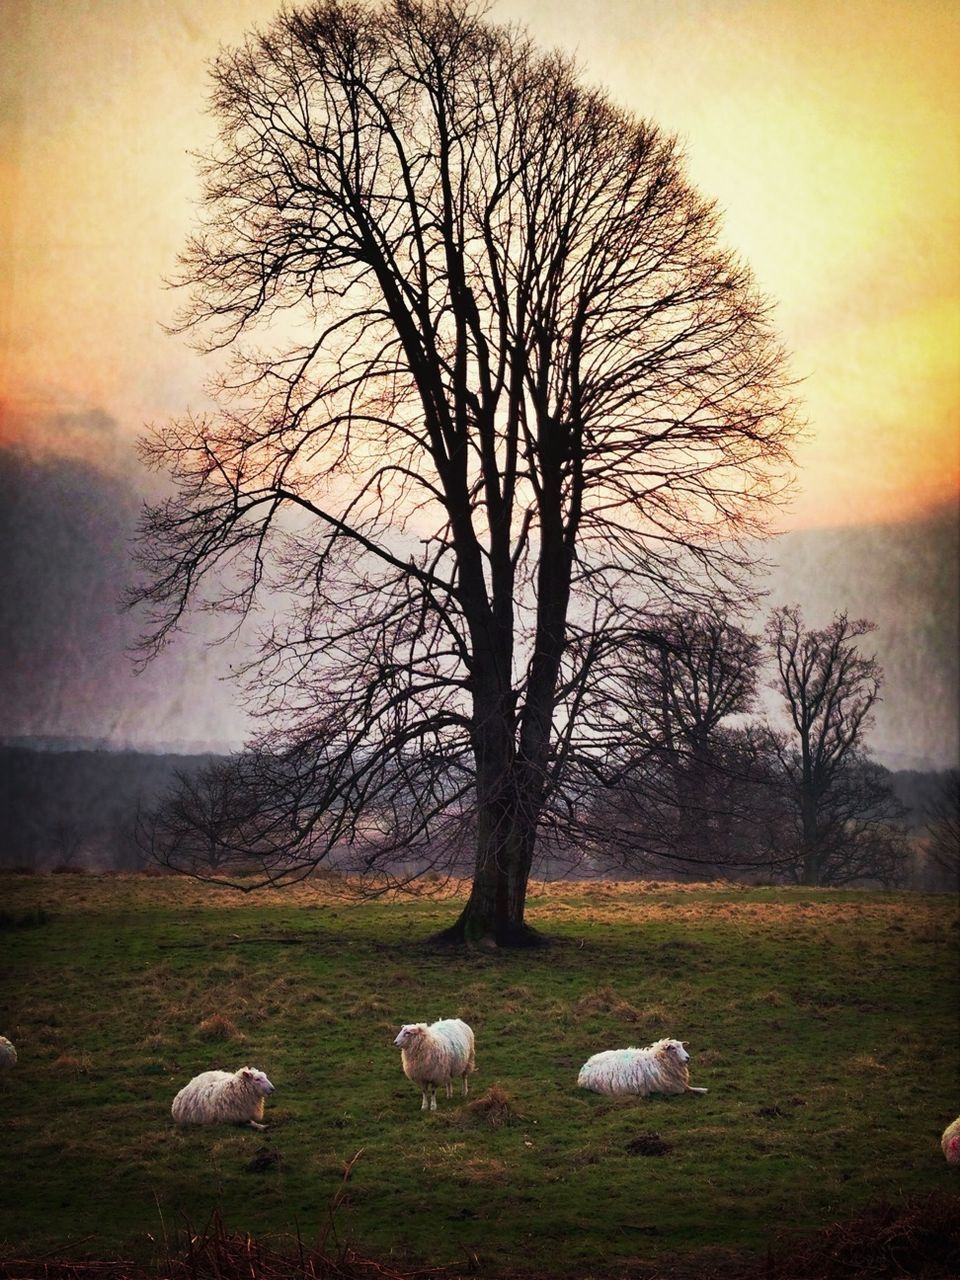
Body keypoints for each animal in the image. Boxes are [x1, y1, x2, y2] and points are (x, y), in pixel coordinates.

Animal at [578, 1039, 706, 1100]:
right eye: (673, 1048)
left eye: (682, 1046)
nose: (687, 1058)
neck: (658, 1060)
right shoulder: (670, 1089)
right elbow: (688, 1089)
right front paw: (702, 1089)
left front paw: (703, 1089)